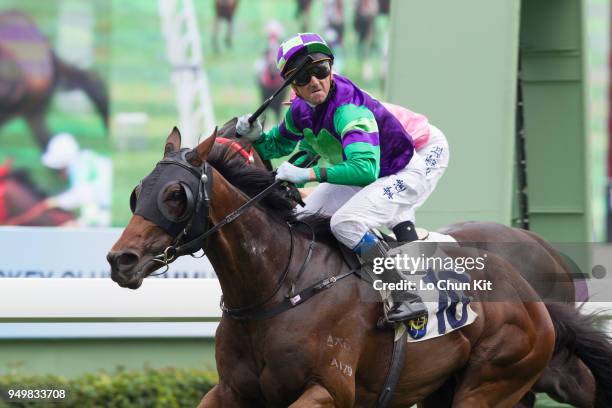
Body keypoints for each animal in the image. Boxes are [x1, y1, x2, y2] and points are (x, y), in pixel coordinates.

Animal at [105, 126, 612, 406]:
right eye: (138, 191)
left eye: (176, 195)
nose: (120, 260)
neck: (279, 288)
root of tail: (532, 296)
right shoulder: (232, 391)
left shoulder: (329, 389)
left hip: (492, 382)